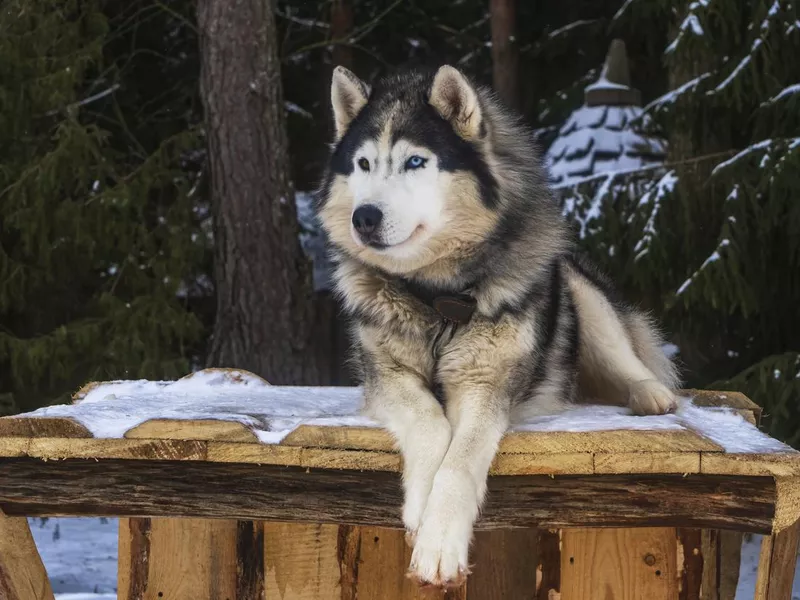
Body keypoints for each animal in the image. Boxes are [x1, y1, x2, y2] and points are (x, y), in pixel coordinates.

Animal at [316, 64, 680, 584]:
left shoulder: (486, 385)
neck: (437, 299)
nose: (363, 217)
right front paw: (421, 505)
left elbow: (461, 458)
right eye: (363, 164)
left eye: (415, 162)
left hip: (579, 291)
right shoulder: (386, 377)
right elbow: (430, 423)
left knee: (624, 356)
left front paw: (439, 542)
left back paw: (650, 393)